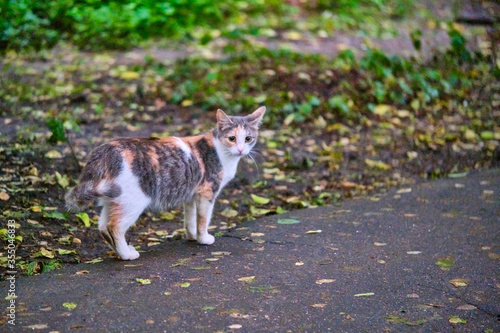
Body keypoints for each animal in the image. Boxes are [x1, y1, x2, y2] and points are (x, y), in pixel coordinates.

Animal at [65, 106, 266, 260]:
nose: (241, 149)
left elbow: (190, 219)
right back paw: (127, 255)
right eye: (232, 138)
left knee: (102, 226)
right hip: (133, 201)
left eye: (248, 139)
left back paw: (122, 252)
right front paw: (203, 238)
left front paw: (192, 236)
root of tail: (106, 150)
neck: (221, 152)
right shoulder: (207, 192)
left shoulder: (191, 194)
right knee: (114, 226)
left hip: (114, 199)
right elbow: (203, 219)